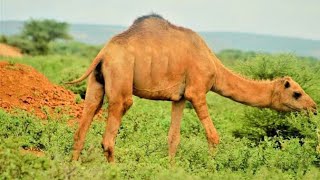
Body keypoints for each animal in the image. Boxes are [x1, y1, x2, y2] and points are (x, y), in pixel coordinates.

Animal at [68, 14, 318, 163]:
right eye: (297, 93)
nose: (314, 108)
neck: (214, 67)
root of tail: (103, 53)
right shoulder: (196, 91)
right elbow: (213, 136)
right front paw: (212, 166)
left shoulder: (179, 97)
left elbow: (173, 137)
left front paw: (169, 168)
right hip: (121, 77)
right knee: (110, 133)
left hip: (96, 82)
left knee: (85, 121)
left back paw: (74, 166)